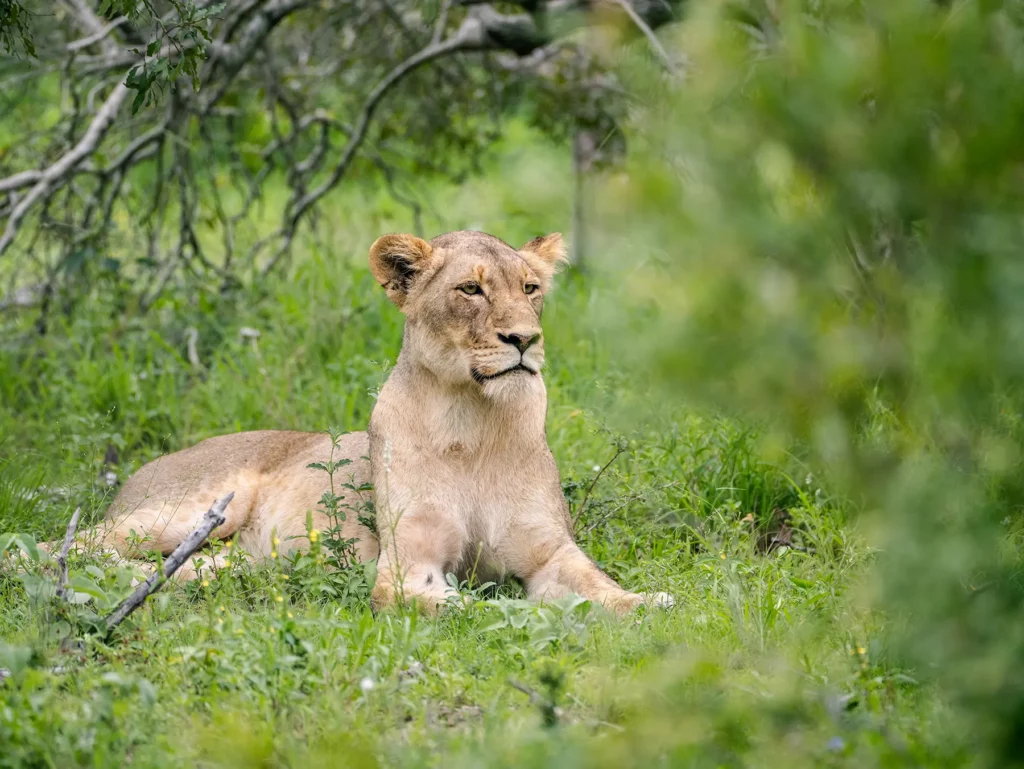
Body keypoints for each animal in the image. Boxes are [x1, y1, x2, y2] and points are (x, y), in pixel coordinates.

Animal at [86, 230, 673, 615]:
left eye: (530, 289)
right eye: (471, 290)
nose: (525, 340)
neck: (473, 419)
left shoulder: (549, 551)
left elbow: (599, 586)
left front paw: (648, 602)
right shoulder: (406, 566)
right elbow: (465, 606)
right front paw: (522, 614)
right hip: (189, 510)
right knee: (78, 544)